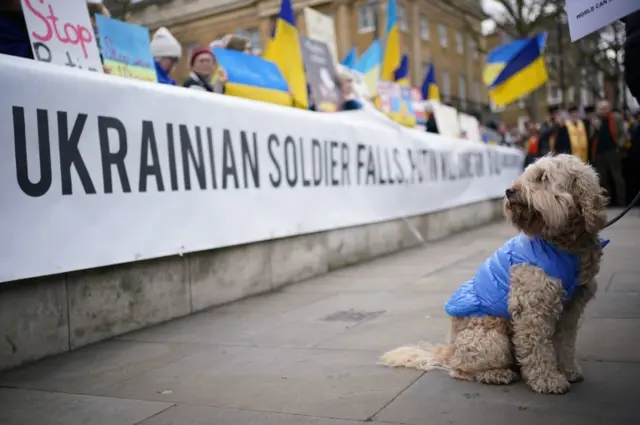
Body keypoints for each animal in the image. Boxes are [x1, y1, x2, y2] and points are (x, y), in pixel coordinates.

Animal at [380, 155, 608, 394]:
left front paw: (568, 371)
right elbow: (538, 349)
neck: (564, 244)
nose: (509, 191)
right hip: (491, 339)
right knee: (460, 370)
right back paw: (497, 374)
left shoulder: (571, 309)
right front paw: (547, 380)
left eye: (543, 177)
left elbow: (565, 344)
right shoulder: (532, 309)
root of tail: (450, 350)